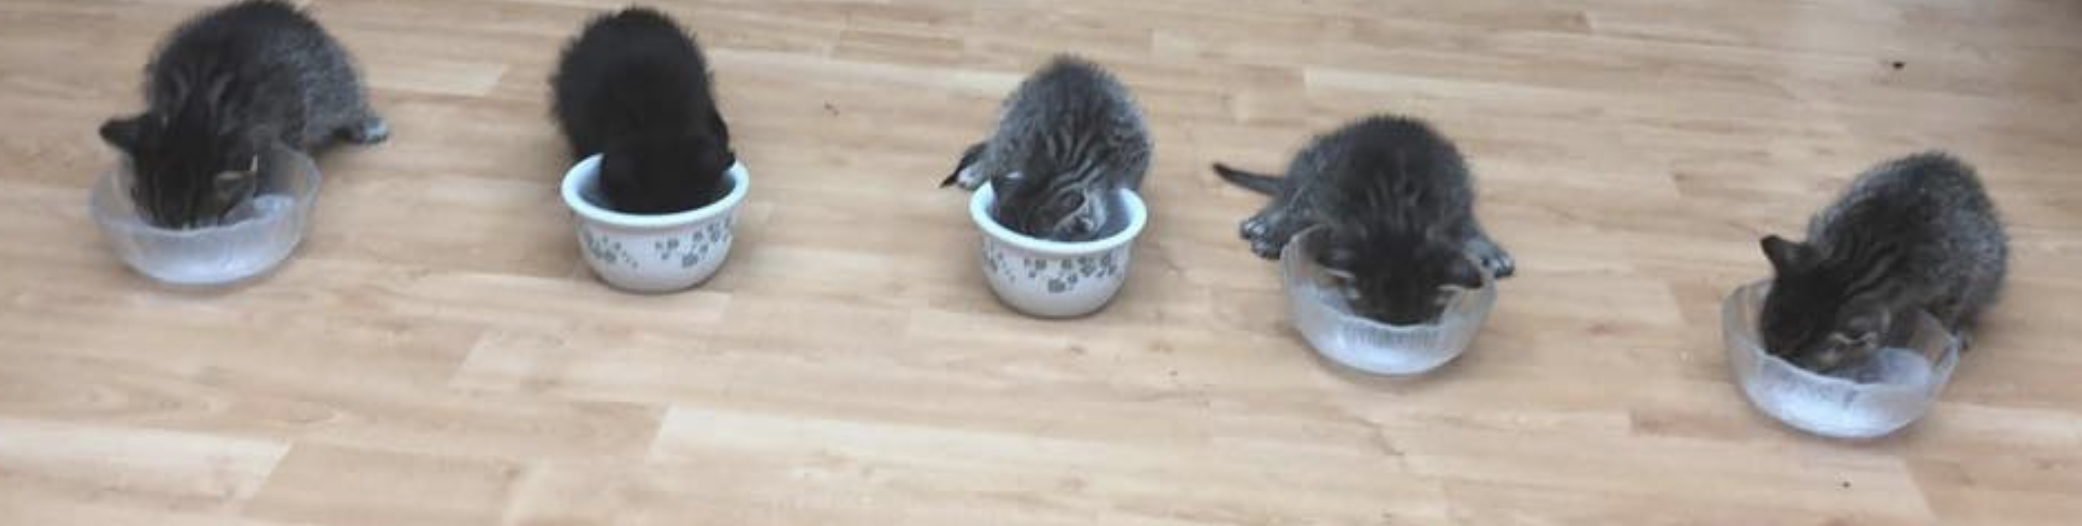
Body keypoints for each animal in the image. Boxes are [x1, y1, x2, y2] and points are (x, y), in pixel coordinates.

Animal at [98, 0, 387, 229]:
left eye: (195, 226)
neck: (196, 105)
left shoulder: (290, 109)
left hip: (327, 69)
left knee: (346, 92)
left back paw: (365, 121)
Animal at [1214, 115, 1514, 325]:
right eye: (1373, 314)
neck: (1396, 215)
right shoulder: (1323, 188)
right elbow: (1299, 209)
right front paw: (1277, 233)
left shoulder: (1447, 209)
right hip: (1316, 155)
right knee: (1290, 186)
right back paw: (1267, 218)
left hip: (1458, 177)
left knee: (1468, 218)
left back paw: (1488, 247)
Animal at [1758, 152, 2007, 376]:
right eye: (1769, 341)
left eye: (1798, 363)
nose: (1771, 359)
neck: (1849, 267)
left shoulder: (1954, 280)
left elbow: (1945, 312)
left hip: (1990, 265)